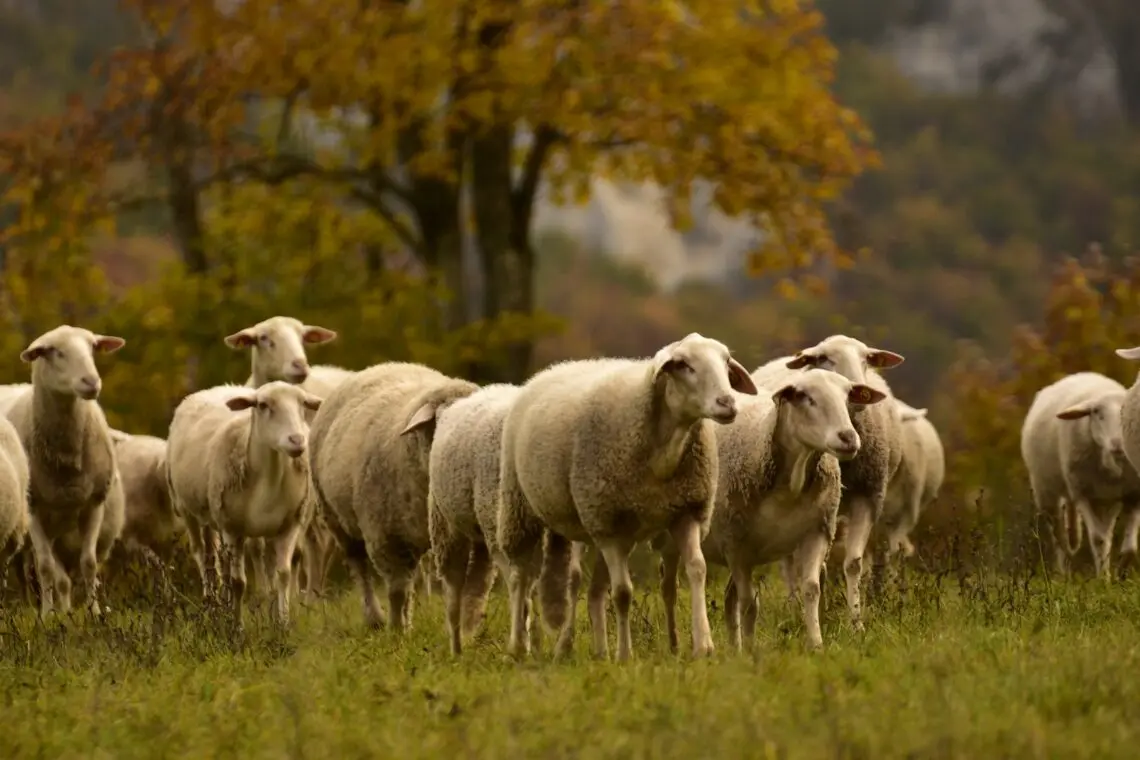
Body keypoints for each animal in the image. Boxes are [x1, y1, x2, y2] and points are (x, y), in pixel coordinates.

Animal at [0, 325, 126, 616]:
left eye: (92, 347)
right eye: (55, 352)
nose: (91, 382)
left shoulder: (94, 503)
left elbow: (88, 563)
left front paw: (94, 613)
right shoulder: (34, 509)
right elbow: (46, 568)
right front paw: (48, 616)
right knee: (32, 570)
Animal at [167, 381, 322, 625]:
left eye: (302, 404)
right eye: (263, 405)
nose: (297, 441)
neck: (271, 477)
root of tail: (220, 387)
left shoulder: (289, 526)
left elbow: (284, 574)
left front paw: (283, 622)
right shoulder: (232, 528)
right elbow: (239, 582)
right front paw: (237, 626)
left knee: (220, 560)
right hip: (188, 510)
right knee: (202, 555)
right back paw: (211, 605)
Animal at [309, 362, 479, 631]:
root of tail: (379, 366)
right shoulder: (387, 537)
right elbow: (397, 590)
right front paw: (397, 630)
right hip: (337, 520)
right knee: (361, 569)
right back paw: (375, 618)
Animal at [497, 333, 759, 661]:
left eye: (726, 363)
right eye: (684, 365)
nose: (727, 403)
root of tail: (552, 369)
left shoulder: (686, 512)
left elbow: (697, 570)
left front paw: (703, 645)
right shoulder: (608, 523)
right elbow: (623, 593)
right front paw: (625, 655)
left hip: (596, 528)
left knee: (592, 589)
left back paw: (598, 651)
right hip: (521, 505)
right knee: (523, 577)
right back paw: (521, 646)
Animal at [749, 335, 905, 628]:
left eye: (866, 358)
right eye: (824, 358)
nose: (857, 389)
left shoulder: (868, 496)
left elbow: (853, 563)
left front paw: (856, 621)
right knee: (789, 564)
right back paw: (793, 606)